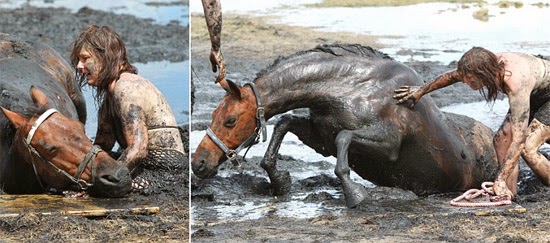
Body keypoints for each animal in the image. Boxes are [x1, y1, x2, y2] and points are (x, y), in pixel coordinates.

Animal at [193, 44, 500, 207]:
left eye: (230, 120)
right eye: (213, 115)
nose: (199, 163)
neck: (350, 88)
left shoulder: (389, 144)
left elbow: (344, 138)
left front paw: (355, 195)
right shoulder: (321, 139)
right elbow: (285, 122)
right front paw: (280, 181)